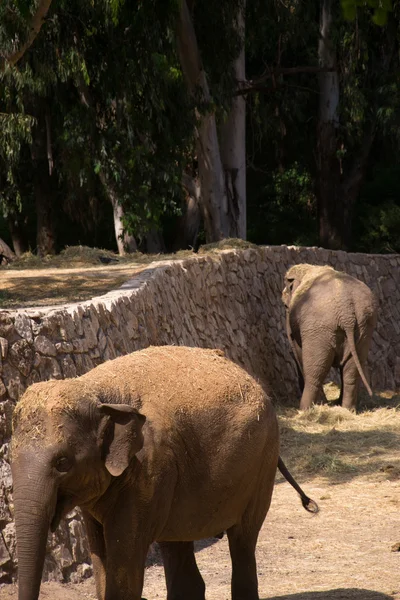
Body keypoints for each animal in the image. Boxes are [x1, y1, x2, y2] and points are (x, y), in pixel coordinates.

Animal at [10, 342, 316, 600]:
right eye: (10, 460)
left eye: (62, 463)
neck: (97, 390)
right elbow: (100, 554)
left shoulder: (149, 468)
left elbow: (124, 559)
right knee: (177, 543)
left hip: (262, 463)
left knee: (243, 540)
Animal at [282, 264, 378, 410]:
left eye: (285, 305)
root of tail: (346, 311)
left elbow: (298, 351)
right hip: (364, 328)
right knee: (351, 371)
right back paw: (347, 410)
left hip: (319, 330)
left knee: (315, 372)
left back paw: (305, 410)